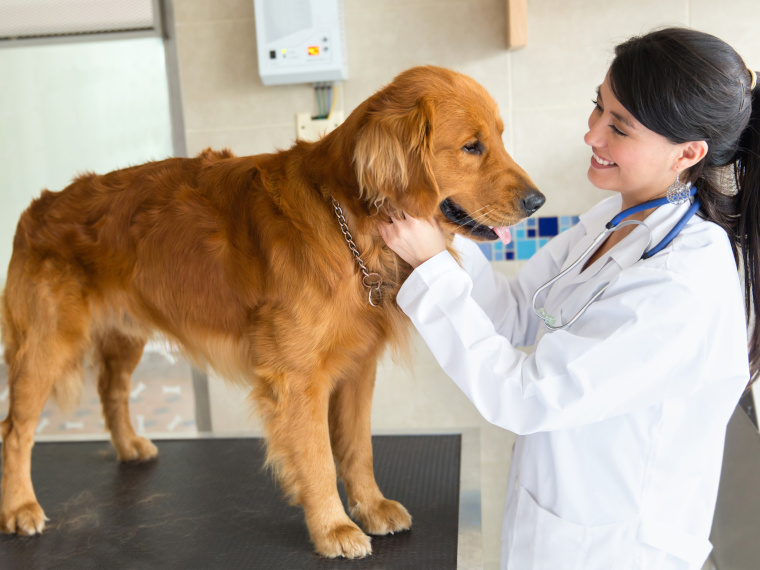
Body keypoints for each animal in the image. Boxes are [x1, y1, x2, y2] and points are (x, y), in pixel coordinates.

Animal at [2, 65, 544, 556]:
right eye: (472, 146)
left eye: (499, 137)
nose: (538, 201)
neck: (348, 224)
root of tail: (36, 208)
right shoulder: (297, 378)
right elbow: (318, 456)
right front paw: (334, 527)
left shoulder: (357, 368)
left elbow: (358, 448)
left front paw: (370, 506)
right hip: (47, 345)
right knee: (16, 429)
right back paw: (19, 507)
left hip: (124, 336)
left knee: (111, 390)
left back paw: (129, 445)